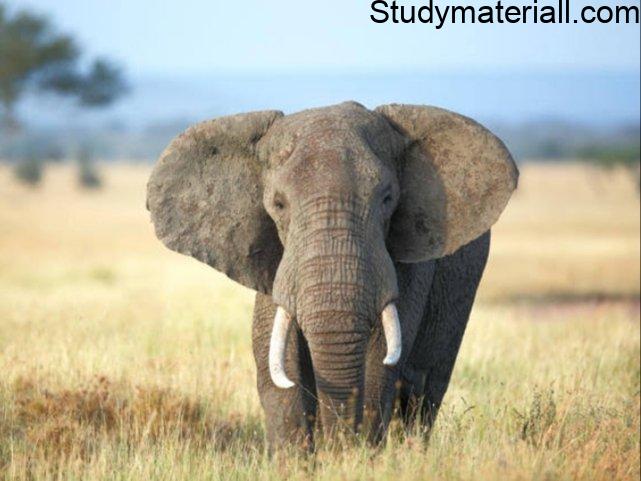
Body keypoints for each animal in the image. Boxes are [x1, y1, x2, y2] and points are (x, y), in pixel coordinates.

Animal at [146, 101, 518, 449]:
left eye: (387, 199)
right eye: (278, 204)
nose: (337, 445)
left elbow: (380, 361)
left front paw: (355, 458)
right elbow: (276, 358)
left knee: (425, 393)